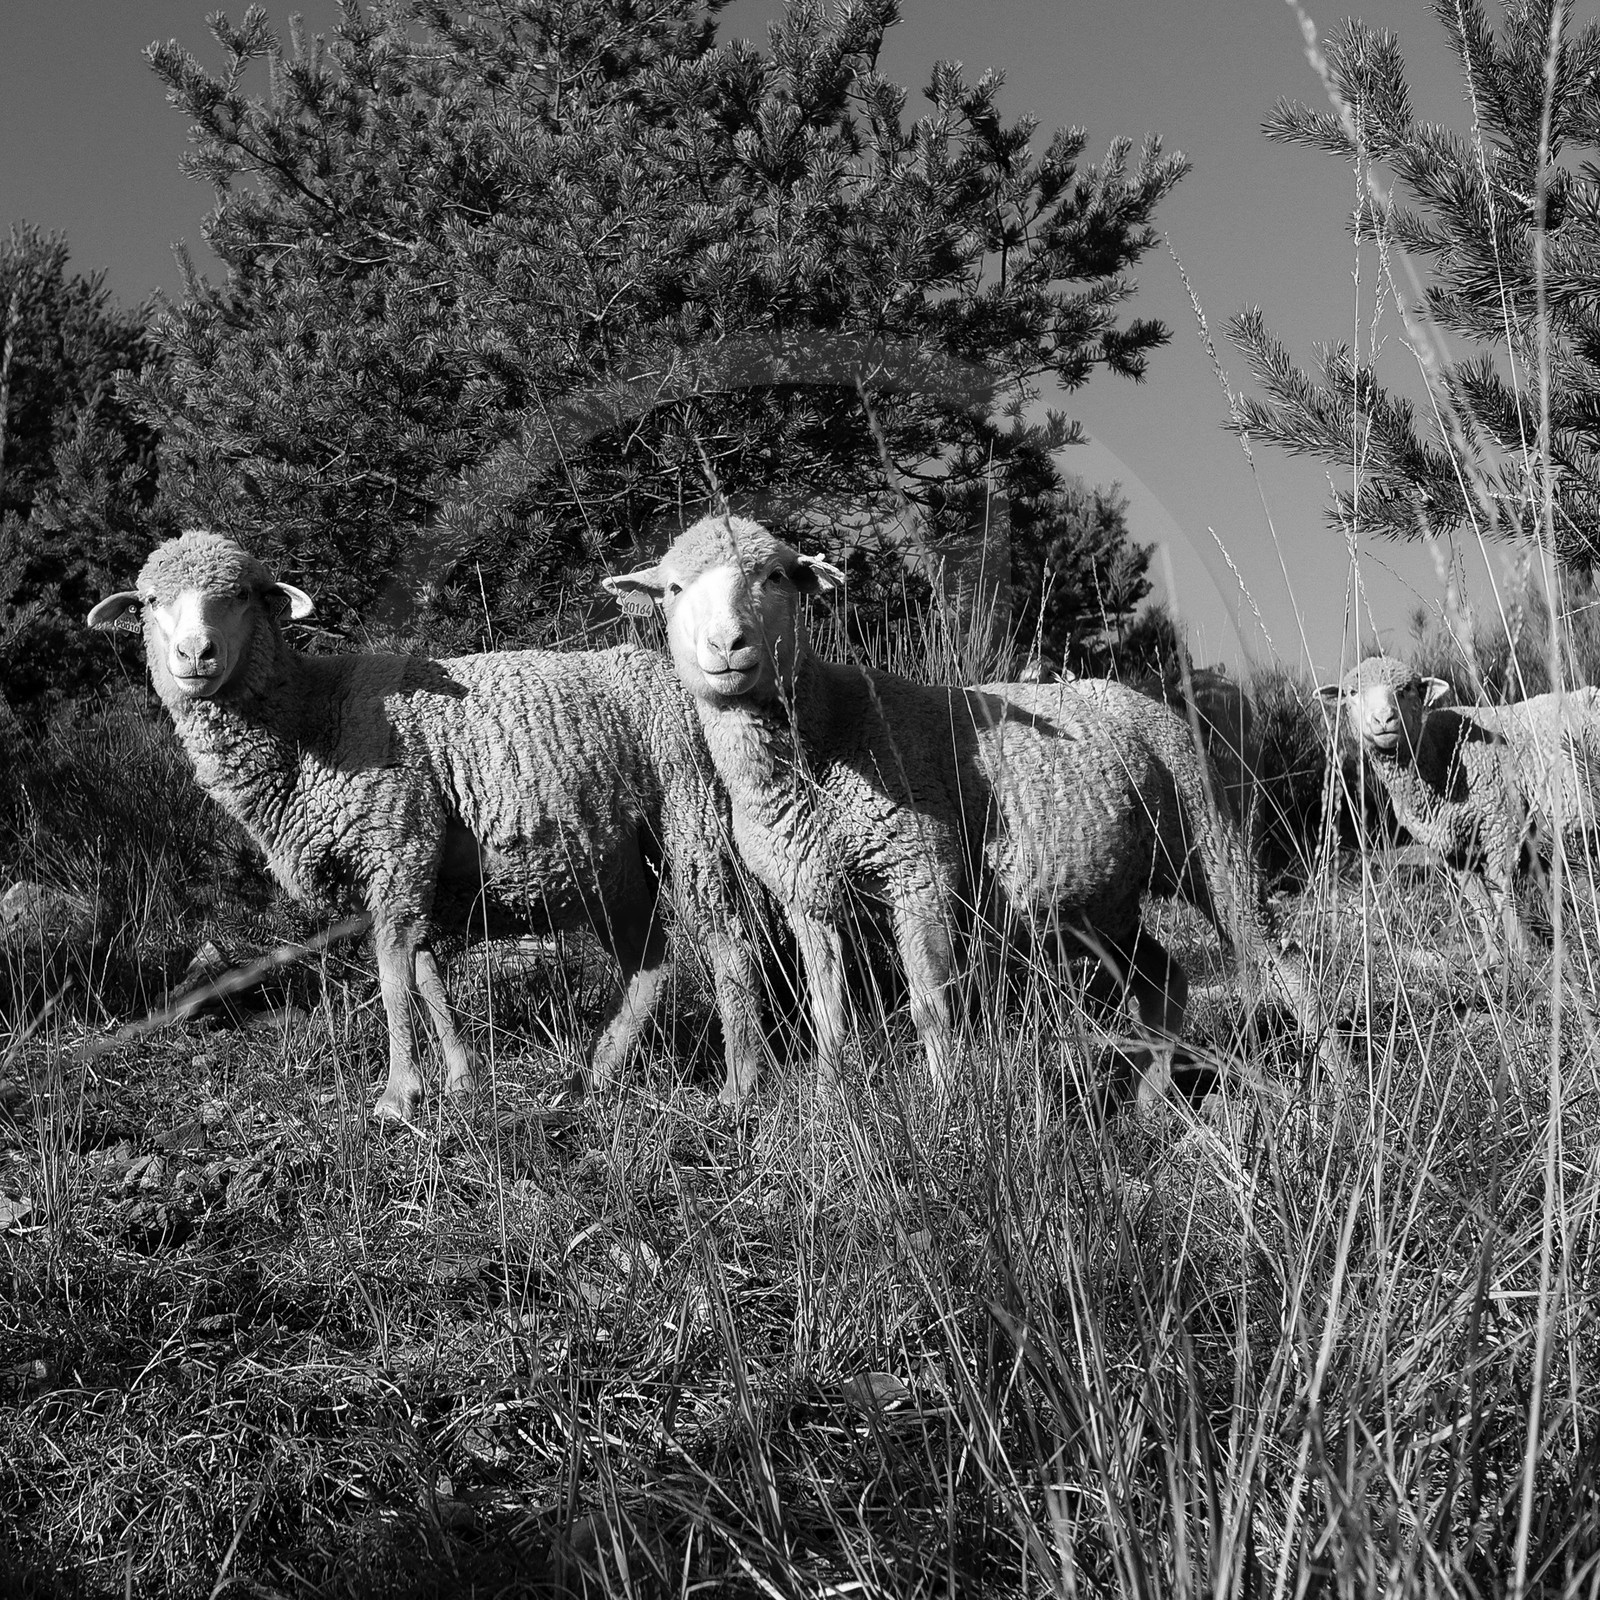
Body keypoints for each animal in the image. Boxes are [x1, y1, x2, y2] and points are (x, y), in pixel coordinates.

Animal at [89, 530, 764, 1121]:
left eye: (241, 595)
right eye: (150, 603)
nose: (194, 656)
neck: (313, 716)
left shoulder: (398, 840)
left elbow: (393, 979)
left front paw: (399, 1096)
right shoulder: (413, 869)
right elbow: (428, 977)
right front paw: (461, 1082)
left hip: (691, 811)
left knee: (728, 943)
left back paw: (739, 1087)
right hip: (612, 859)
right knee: (649, 960)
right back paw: (600, 1070)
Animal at [605, 513, 1320, 1103]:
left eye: (776, 575)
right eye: (673, 590)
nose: (727, 646)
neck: (823, 734)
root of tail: (1141, 698)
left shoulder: (918, 867)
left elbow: (931, 1004)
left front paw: (949, 1099)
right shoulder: (805, 893)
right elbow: (829, 1012)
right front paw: (834, 1097)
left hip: (1209, 835)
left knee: (1272, 956)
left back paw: (1327, 1076)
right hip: (1103, 896)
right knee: (1162, 978)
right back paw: (1149, 1106)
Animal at [1318, 653, 1600, 963]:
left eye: (1407, 689)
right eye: (1352, 693)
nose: (1383, 719)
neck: (1439, 755)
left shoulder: (1502, 825)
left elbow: (1504, 893)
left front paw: (1523, 954)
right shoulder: (1455, 851)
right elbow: (1479, 903)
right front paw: (1494, 958)